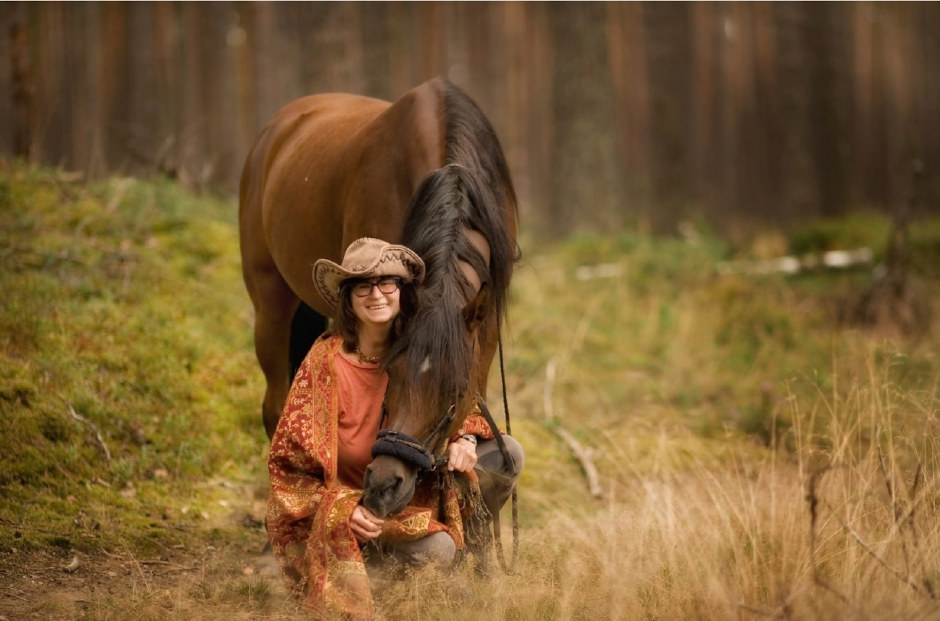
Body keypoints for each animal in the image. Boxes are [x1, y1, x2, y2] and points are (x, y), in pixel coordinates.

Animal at [235, 75, 516, 516]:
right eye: (390, 373)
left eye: (454, 393)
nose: (387, 483)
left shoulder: (482, 335)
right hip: (271, 308)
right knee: (276, 409)